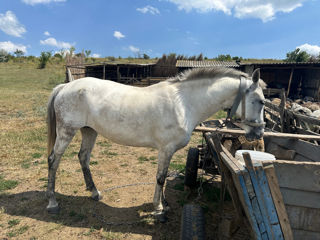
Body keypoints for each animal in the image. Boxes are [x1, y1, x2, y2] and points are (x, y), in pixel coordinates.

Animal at [45, 67, 264, 221]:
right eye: (261, 101)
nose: (259, 132)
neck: (184, 104)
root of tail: (65, 87)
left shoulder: (168, 152)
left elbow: (163, 178)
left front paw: (164, 204)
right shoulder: (165, 150)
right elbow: (160, 178)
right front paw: (159, 210)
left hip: (89, 131)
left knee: (83, 157)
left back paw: (94, 192)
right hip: (66, 132)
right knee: (53, 161)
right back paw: (52, 203)